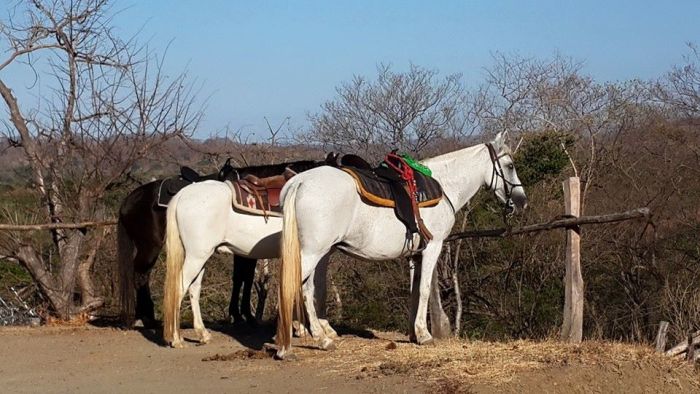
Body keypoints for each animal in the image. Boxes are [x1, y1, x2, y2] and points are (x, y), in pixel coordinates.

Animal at [274, 133, 524, 360]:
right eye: (510, 166)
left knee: (306, 289)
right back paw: (292, 346)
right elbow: (424, 290)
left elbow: (414, 292)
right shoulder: (433, 247)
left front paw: (414, 334)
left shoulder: (414, 254)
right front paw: (425, 335)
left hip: (319, 254)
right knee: (292, 287)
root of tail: (298, 182)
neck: (445, 187)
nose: (521, 201)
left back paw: (317, 337)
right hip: (312, 253)